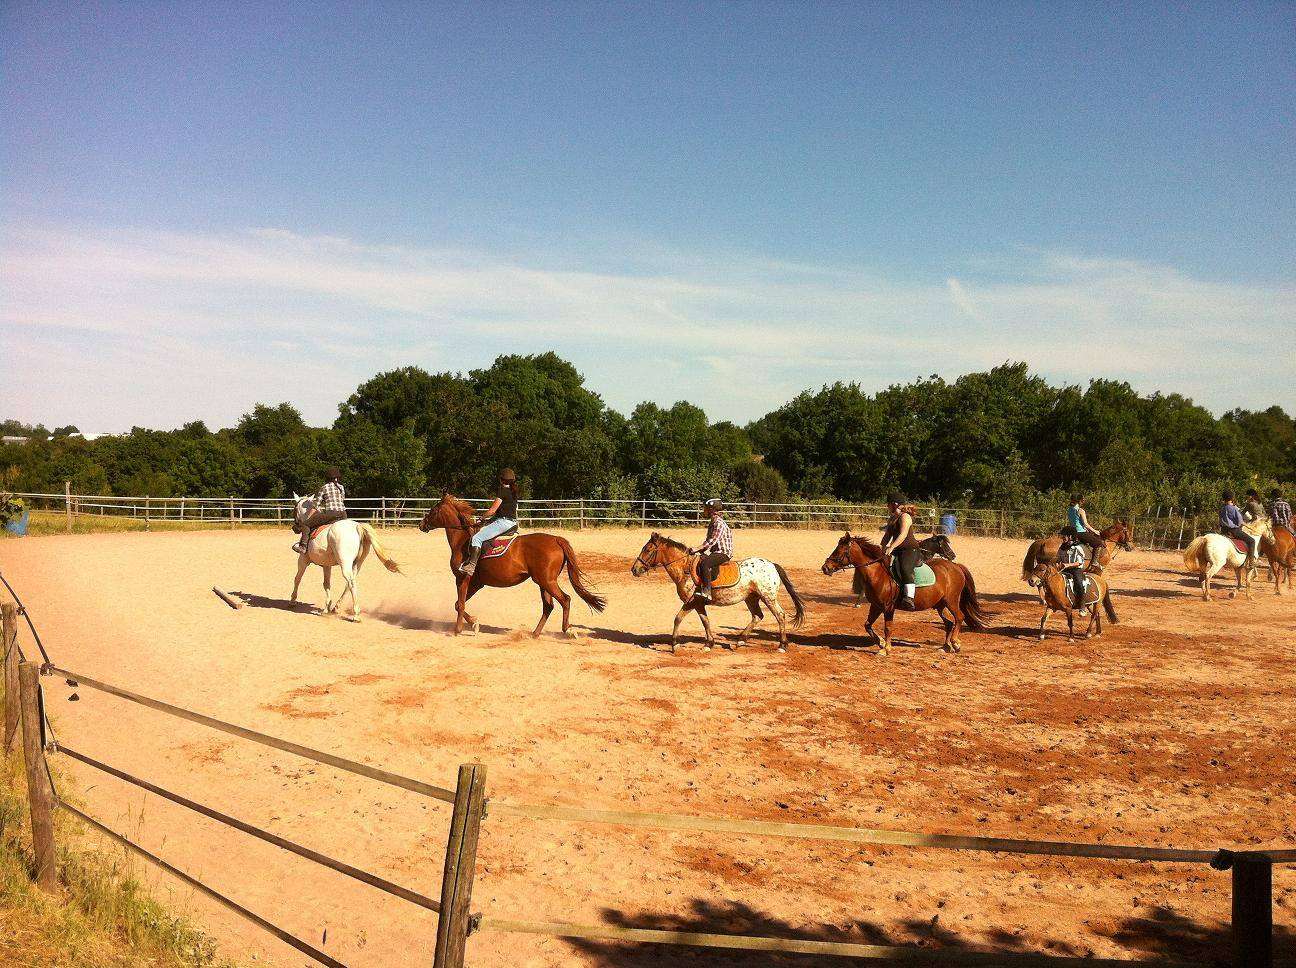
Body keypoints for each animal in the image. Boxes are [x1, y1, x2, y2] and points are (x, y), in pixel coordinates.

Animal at [291, 492, 401, 622]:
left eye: (294, 508)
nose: (295, 528)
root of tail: (357, 527)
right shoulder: (326, 565)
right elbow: (326, 583)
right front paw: (326, 607)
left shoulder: (303, 560)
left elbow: (297, 578)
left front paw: (293, 600)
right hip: (356, 564)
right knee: (349, 583)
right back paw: (336, 607)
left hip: (345, 563)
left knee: (351, 583)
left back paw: (356, 614)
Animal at [422, 495, 609, 640]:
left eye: (432, 511)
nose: (421, 525)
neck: (463, 541)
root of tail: (556, 539)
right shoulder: (475, 583)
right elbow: (457, 604)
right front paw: (474, 624)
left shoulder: (463, 579)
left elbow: (460, 604)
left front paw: (458, 630)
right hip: (543, 582)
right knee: (548, 606)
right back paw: (534, 634)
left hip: (547, 581)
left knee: (565, 599)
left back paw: (568, 630)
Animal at [632, 533, 803, 655]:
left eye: (648, 549)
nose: (634, 569)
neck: (684, 569)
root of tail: (771, 565)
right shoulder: (699, 603)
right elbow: (705, 621)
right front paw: (709, 644)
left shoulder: (691, 602)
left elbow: (678, 619)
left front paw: (675, 645)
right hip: (751, 598)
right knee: (757, 616)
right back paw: (740, 641)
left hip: (768, 597)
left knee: (780, 615)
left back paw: (782, 646)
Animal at [824, 531, 984, 658]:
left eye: (839, 551)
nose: (825, 567)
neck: (878, 573)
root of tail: (956, 566)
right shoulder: (876, 606)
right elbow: (867, 625)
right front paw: (881, 643)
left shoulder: (888, 607)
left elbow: (888, 627)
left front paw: (886, 649)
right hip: (940, 605)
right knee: (949, 623)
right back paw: (945, 647)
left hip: (951, 601)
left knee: (959, 618)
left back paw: (955, 643)